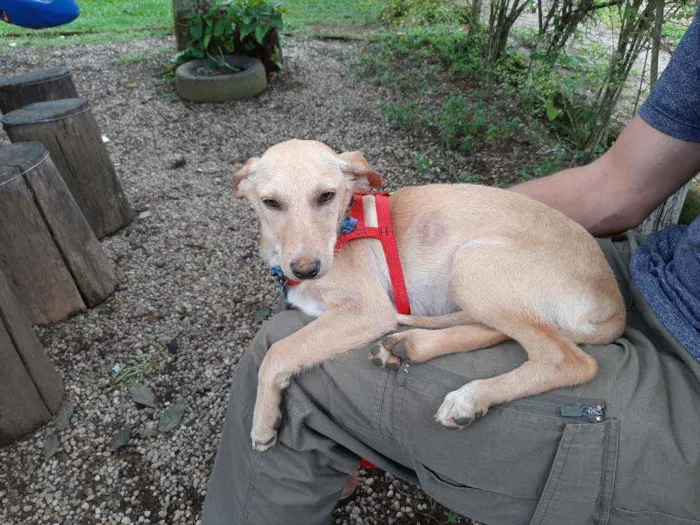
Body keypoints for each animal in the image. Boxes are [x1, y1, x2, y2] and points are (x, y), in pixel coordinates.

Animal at [232, 139, 628, 450]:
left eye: (326, 196)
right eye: (271, 203)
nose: (305, 269)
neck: (346, 226)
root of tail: (615, 301)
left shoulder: (366, 310)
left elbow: (280, 350)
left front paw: (263, 420)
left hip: (471, 266)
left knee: (568, 359)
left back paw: (469, 397)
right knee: (500, 331)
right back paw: (410, 345)